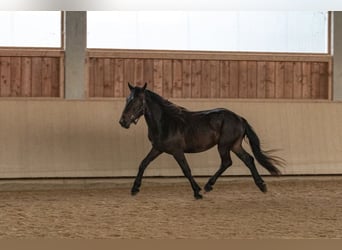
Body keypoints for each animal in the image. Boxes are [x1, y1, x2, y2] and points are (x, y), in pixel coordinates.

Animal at [119, 83, 284, 200]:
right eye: (127, 99)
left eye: (136, 101)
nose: (122, 122)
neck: (166, 122)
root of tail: (239, 118)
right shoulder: (157, 149)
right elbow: (143, 164)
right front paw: (134, 189)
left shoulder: (177, 151)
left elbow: (186, 170)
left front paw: (197, 192)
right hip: (235, 145)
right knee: (248, 159)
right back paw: (262, 186)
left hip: (224, 146)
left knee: (227, 162)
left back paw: (208, 186)